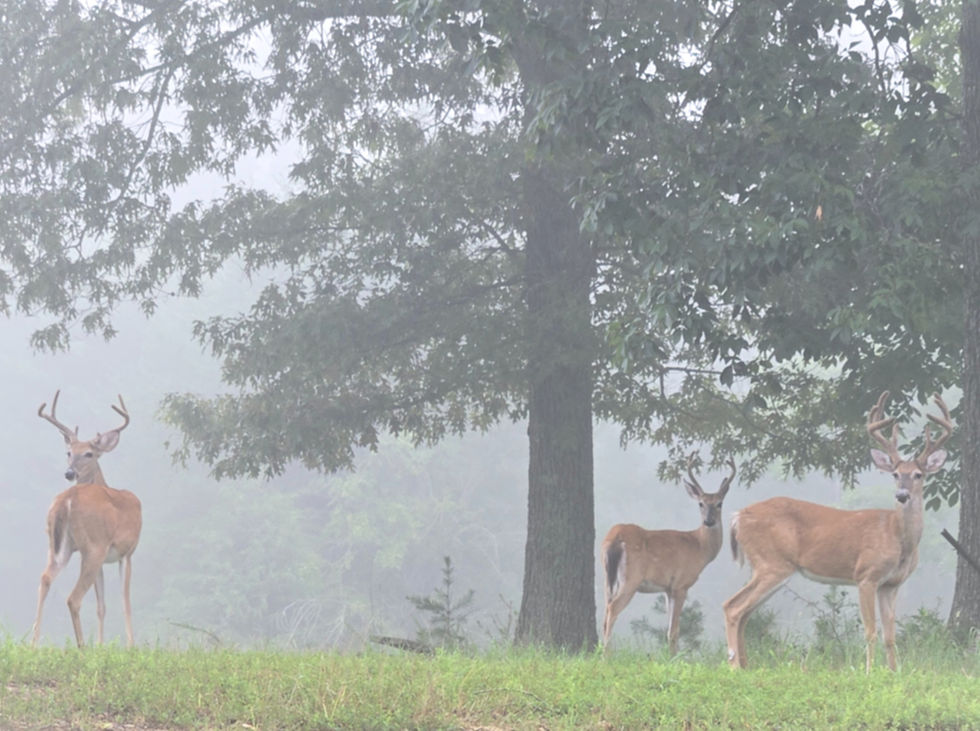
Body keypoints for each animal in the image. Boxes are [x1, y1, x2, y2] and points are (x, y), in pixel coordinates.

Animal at [32, 390, 142, 648]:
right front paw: (131, 647)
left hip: (59, 546)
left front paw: (101, 646)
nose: (69, 472)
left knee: (45, 578)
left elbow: (102, 606)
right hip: (93, 547)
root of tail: (67, 500)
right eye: (68, 452)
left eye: (88, 453)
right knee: (73, 598)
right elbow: (126, 602)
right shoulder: (127, 551)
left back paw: (33, 643)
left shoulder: (106, 558)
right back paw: (81, 647)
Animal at [600, 455, 736, 654]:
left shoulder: (667, 588)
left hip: (607, 577)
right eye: (701, 504)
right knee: (612, 609)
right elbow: (674, 630)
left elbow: (669, 628)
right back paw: (606, 655)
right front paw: (674, 658)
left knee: (604, 611)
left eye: (720, 504)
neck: (699, 547)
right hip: (631, 578)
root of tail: (614, 538)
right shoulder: (681, 584)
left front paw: (670, 656)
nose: (709, 521)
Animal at [723, 391, 952, 673]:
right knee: (733, 607)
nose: (901, 495)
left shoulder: (891, 584)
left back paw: (747, 666)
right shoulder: (866, 575)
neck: (898, 539)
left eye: (918, 474)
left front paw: (894, 672)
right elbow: (870, 631)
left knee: (745, 612)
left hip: (769, 567)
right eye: (896, 474)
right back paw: (734, 667)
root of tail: (737, 517)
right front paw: (868, 672)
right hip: (771, 563)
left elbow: (890, 635)